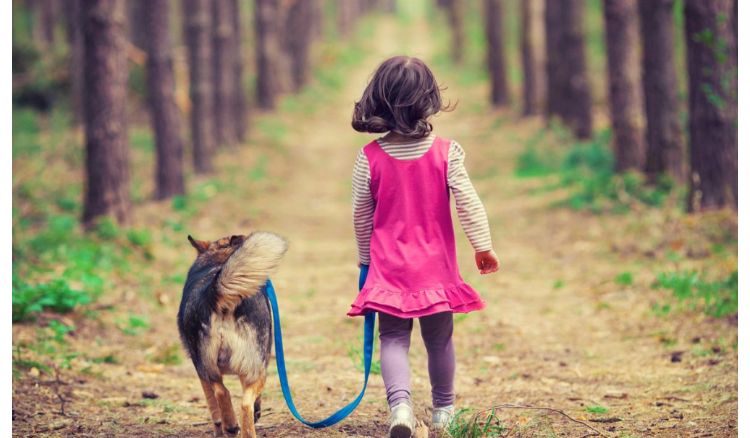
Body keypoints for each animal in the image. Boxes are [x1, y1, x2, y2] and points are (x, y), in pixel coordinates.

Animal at [178, 231, 290, 436]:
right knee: (243, 403)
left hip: (209, 366)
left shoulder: (201, 371)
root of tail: (214, 293)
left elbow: (212, 405)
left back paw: (230, 425)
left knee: (221, 392)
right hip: (254, 369)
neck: (218, 259)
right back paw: (238, 426)